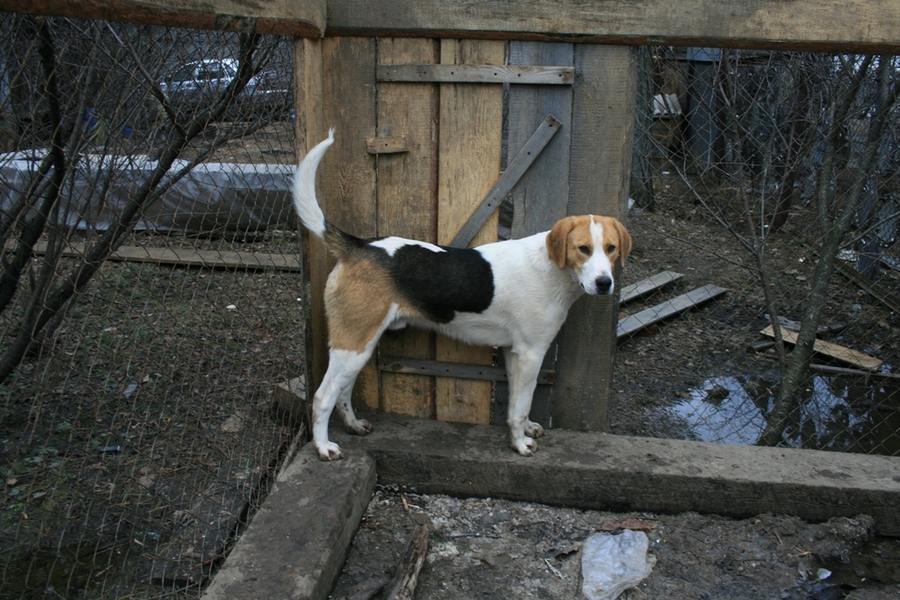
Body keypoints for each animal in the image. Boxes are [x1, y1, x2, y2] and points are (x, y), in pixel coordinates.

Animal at [292, 130, 628, 460]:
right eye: (583, 249)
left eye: (611, 248)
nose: (604, 283)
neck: (549, 267)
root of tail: (358, 245)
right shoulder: (531, 353)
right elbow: (521, 406)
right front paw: (520, 445)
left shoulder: (513, 353)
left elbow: (516, 404)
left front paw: (525, 429)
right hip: (353, 345)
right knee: (322, 397)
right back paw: (323, 447)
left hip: (360, 345)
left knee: (343, 392)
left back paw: (353, 425)